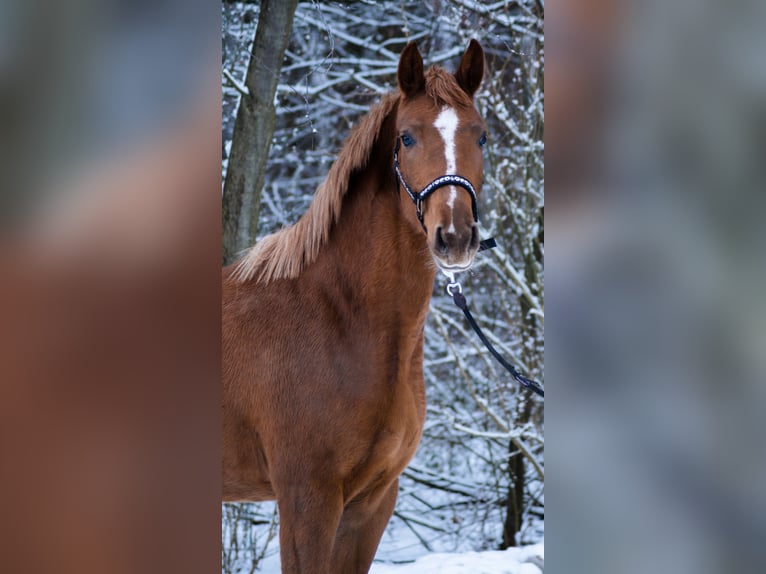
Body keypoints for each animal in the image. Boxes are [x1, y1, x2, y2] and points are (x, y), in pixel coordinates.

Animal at [224, 41, 486, 574]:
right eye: (406, 137)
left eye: (483, 136)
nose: (455, 237)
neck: (337, 321)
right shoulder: (308, 499)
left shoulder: (371, 503)